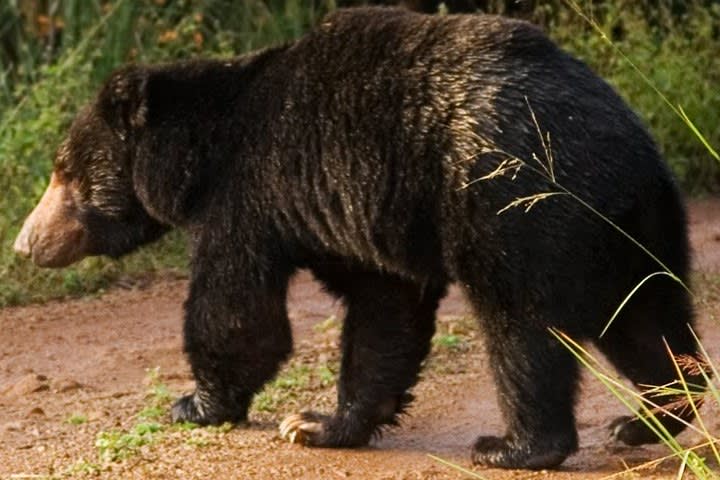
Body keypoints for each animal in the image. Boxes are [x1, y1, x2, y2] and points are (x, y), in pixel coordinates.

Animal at [14, 6, 704, 468]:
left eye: (64, 170)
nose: (24, 243)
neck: (194, 156)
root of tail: (622, 147)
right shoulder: (347, 211)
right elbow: (383, 311)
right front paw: (319, 423)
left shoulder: (250, 196)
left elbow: (236, 310)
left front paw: (198, 403)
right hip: (633, 229)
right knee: (647, 320)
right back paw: (650, 416)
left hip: (518, 210)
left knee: (523, 328)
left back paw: (515, 445)